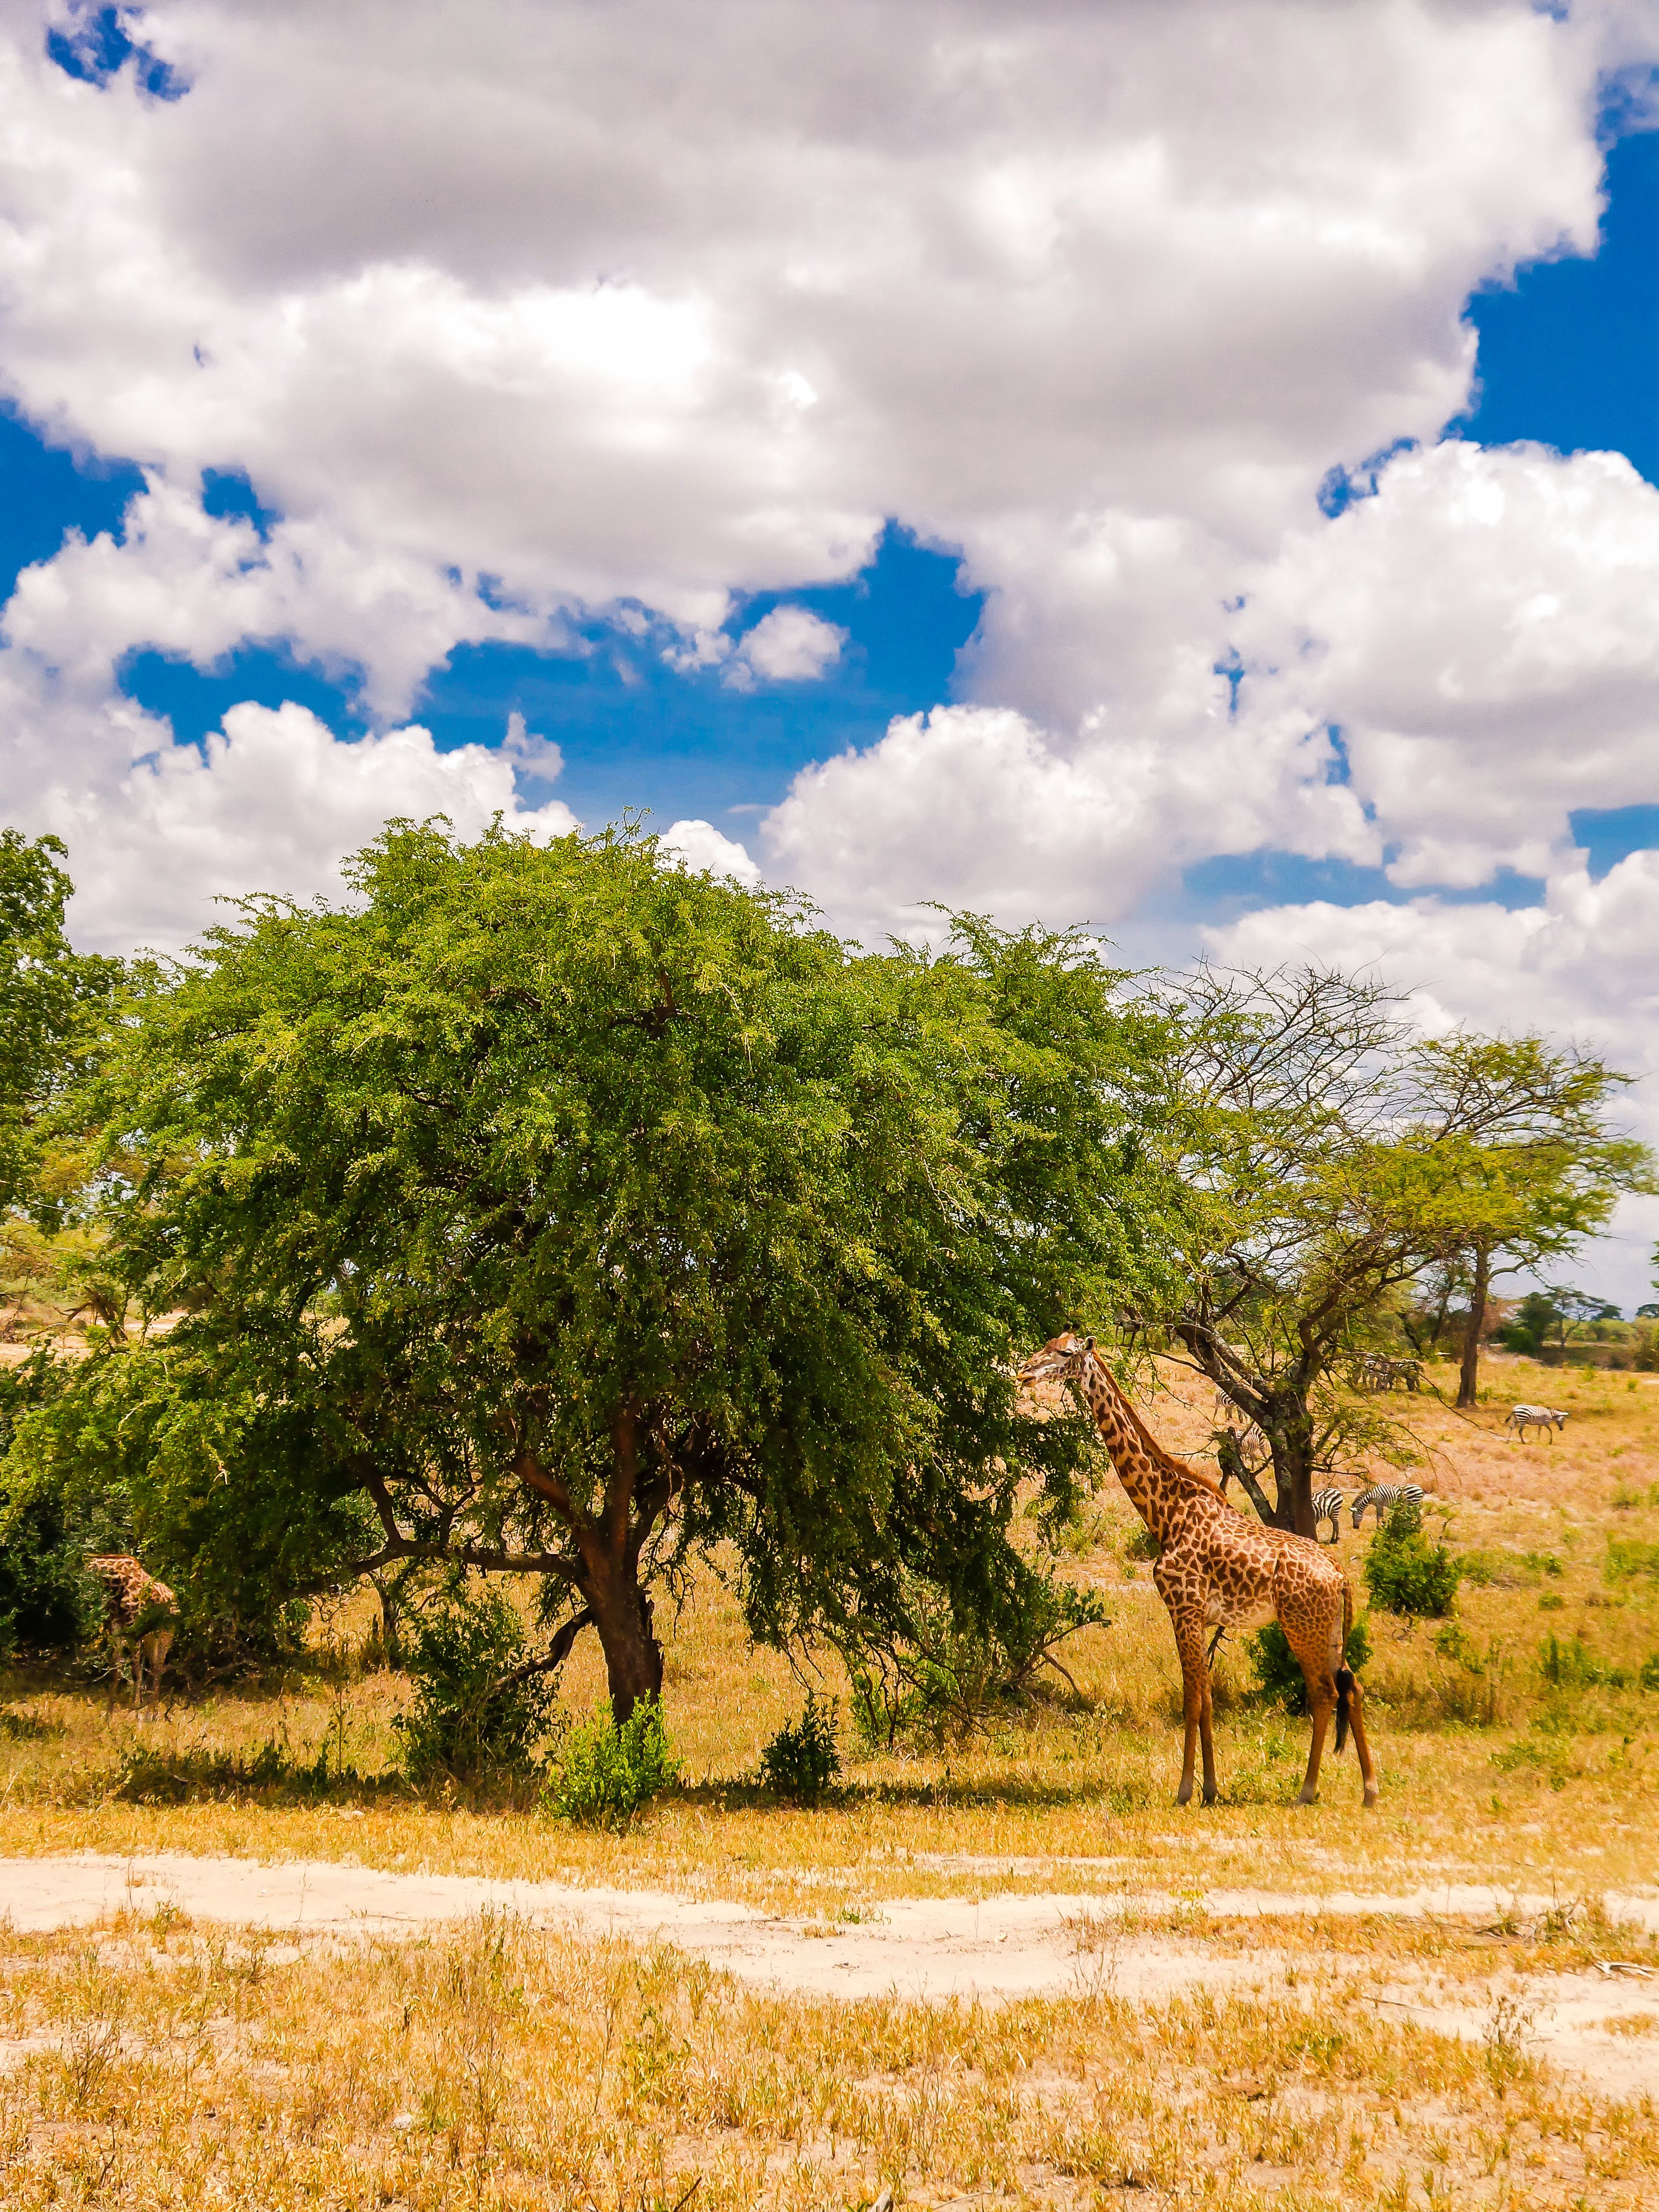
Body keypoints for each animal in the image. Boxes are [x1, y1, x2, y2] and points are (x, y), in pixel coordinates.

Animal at [85, 1556, 177, 1712]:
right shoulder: (118, 1632)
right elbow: (117, 1668)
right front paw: (110, 1709)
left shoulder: (135, 1634)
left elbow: (136, 1671)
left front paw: (136, 1705)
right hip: (152, 1640)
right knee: (155, 1668)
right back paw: (152, 1708)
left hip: (164, 1637)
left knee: (158, 1669)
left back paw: (153, 1708)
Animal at [1017, 1334, 1378, 1809]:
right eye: (1047, 1344)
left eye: (1064, 1354)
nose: (1024, 1372)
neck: (1165, 1513)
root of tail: (1340, 1575)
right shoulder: (1201, 1617)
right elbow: (1206, 1700)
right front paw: (1210, 1788)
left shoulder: (1183, 1609)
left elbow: (1191, 1700)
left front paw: (1185, 1790)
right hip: (1331, 1629)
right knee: (1351, 1688)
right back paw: (1369, 1790)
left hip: (1302, 1628)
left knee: (1324, 1694)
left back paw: (1307, 1791)